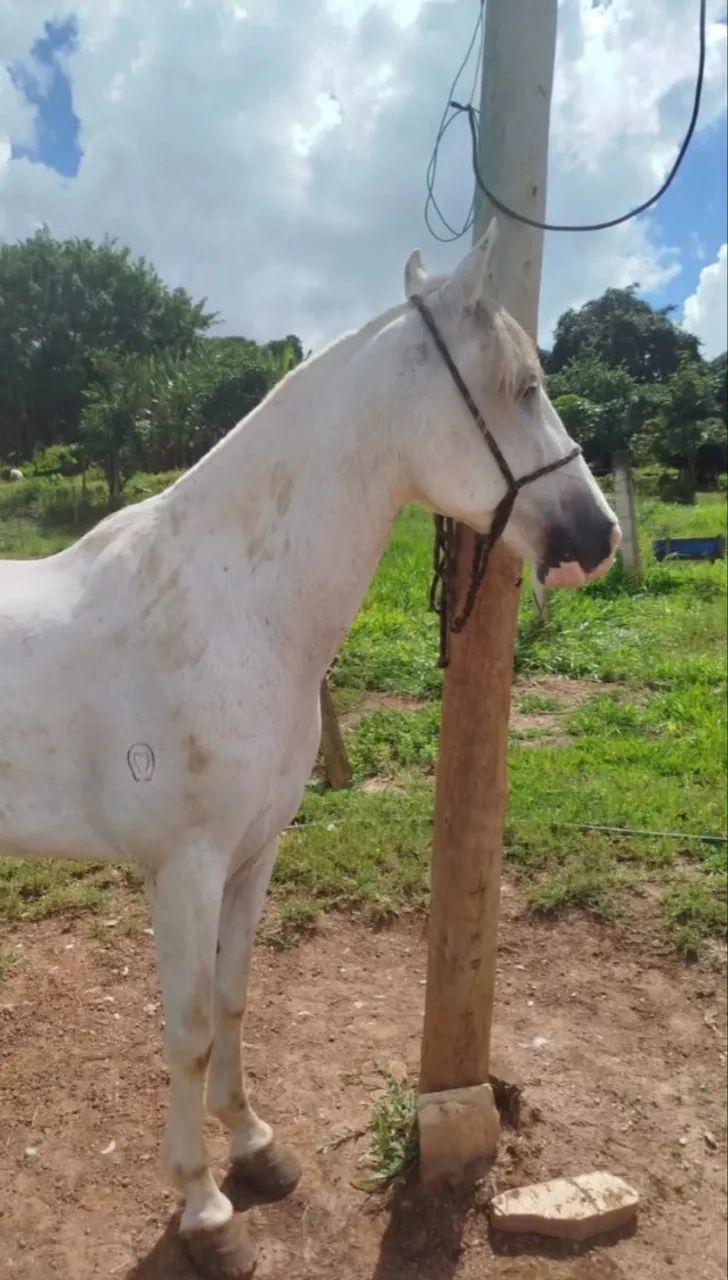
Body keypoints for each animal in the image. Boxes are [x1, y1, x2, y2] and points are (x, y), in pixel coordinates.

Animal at [0, 220, 621, 1278]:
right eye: (522, 386)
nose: (599, 535)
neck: (233, 608)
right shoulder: (184, 870)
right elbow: (188, 1031)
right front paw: (206, 1209)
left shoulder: (253, 855)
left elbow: (235, 1001)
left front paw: (254, 1148)